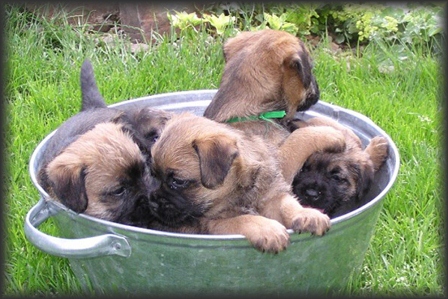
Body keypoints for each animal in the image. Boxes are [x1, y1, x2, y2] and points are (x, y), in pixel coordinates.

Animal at [148, 112, 344, 253]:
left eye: (177, 182)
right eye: (153, 175)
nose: (152, 202)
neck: (240, 188)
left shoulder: (271, 197)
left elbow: (287, 205)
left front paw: (307, 214)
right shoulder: (215, 223)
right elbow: (244, 219)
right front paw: (267, 229)